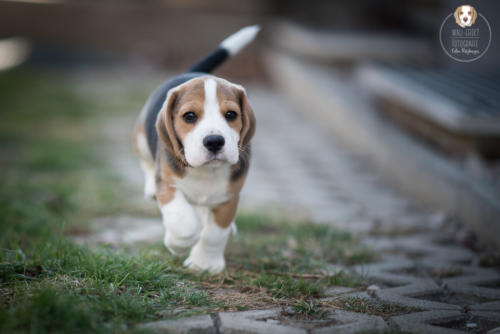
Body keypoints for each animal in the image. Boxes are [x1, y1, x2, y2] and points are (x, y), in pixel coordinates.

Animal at [134, 25, 258, 272]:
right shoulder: (168, 185)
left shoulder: (228, 197)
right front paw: (178, 245)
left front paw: (205, 264)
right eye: (189, 116)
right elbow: (184, 223)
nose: (214, 141)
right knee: (146, 163)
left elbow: (214, 234)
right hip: (141, 139)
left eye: (231, 114)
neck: (206, 172)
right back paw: (150, 188)